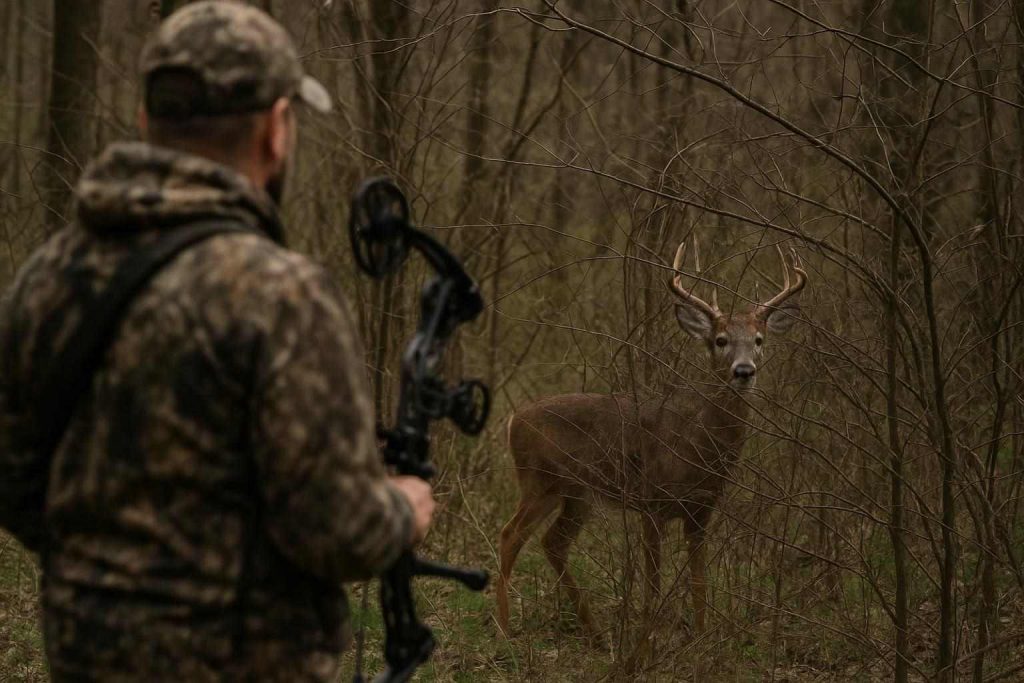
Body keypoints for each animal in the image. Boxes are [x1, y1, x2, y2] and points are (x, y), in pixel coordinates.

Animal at [495, 239, 807, 640]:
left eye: (759, 340)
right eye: (720, 340)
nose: (743, 371)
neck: (699, 446)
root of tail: (514, 419)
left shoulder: (702, 509)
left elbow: (699, 581)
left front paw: (700, 636)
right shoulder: (652, 501)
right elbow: (654, 581)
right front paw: (650, 633)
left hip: (577, 494)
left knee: (553, 542)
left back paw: (595, 632)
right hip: (539, 479)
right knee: (510, 535)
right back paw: (504, 629)